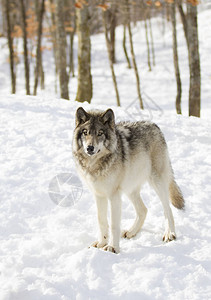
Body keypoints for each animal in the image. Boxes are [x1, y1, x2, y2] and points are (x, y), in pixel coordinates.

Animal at [72, 107, 185, 253]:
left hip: (157, 183)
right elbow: (101, 221)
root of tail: (154, 125)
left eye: (100, 133)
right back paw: (131, 232)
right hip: (130, 189)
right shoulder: (99, 195)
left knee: (168, 209)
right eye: (85, 132)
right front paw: (101, 244)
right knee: (143, 210)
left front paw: (112, 248)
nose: (90, 148)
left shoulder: (114, 196)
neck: (95, 165)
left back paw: (169, 233)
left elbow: (113, 224)